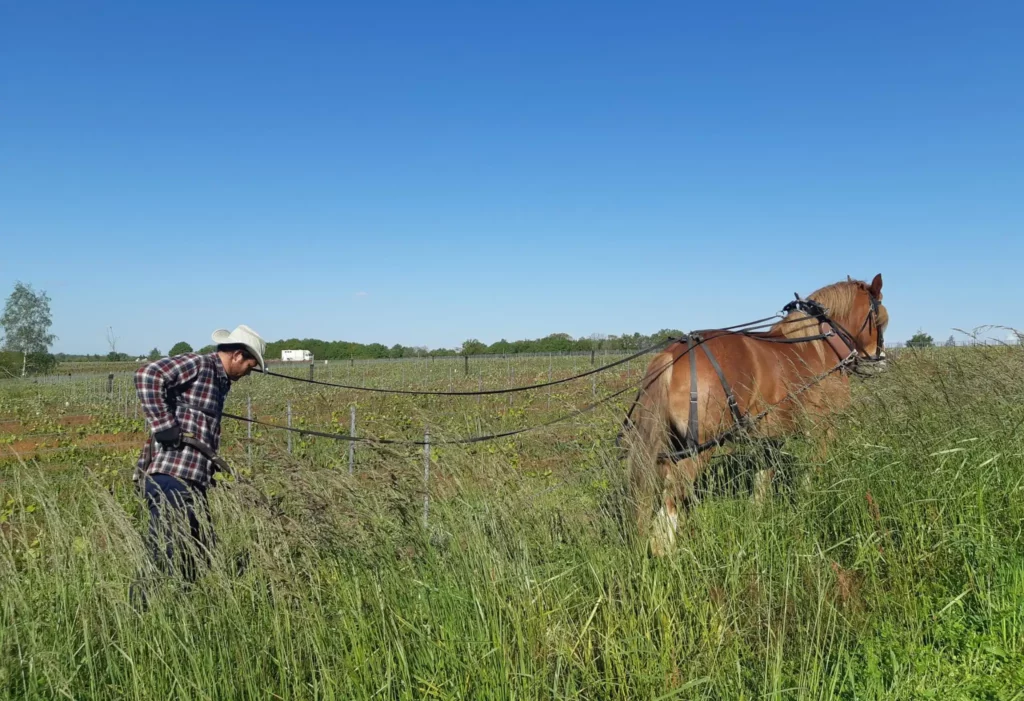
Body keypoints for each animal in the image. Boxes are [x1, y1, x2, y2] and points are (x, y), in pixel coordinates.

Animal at [618, 274, 892, 552]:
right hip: (699, 449)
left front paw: (758, 519)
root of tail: (672, 356)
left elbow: (762, 482)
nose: (880, 360)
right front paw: (809, 503)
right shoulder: (822, 429)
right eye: (880, 317)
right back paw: (664, 551)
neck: (819, 346)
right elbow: (812, 473)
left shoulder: (768, 438)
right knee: (673, 495)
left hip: (674, 445)